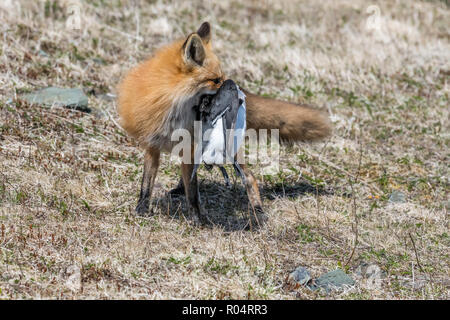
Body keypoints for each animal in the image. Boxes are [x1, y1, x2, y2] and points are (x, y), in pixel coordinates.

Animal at [118, 21, 332, 225]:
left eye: (222, 78)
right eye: (215, 80)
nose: (236, 91)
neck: (171, 111)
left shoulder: (191, 148)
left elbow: (193, 193)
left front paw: (198, 219)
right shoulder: (152, 145)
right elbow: (147, 183)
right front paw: (142, 209)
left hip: (229, 147)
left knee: (250, 178)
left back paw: (258, 212)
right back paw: (179, 189)